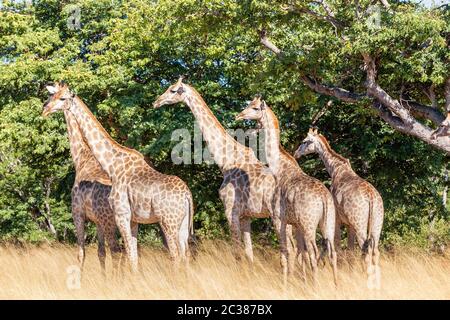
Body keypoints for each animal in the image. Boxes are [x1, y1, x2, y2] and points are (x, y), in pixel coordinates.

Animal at [42, 82, 195, 270]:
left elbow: (102, 254)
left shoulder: (104, 214)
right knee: (185, 254)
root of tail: (187, 195)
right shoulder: (132, 220)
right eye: (51, 96)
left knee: (174, 255)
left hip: (168, 222)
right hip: (182, 223)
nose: (44, 109)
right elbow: (128, 254)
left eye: (62, 98)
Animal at [153, 78, 298, 272]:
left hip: (278, 216)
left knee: (290, 248)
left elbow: (237, 253)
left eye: (173, 90)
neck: (226, 160)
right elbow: (249, 253)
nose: (156, 102)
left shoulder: (231, 211)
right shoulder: (246, 216)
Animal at [236, 96, 338, 284]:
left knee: (313, 252)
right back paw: (335, 285)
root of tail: (324, 199)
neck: (280, 169)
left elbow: (285, 253)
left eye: (255, 108)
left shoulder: (279, 218)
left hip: (309, 224)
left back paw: (316, 285)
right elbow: (298, 253)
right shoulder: (295, 223)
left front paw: (286, 284)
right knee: (331, 252)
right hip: (328, 222)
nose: (239, 115)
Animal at [296, 128, 384, 290]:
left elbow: (337, 246)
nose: (296, 153)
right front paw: (350, 276)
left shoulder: (337, 219)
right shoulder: (350, 224)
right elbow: (350, 251)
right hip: (377, 222)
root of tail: (371, 198)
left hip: (359, 222)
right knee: (375, 251)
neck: (335, 169)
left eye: (305, 141)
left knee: (366, 250)